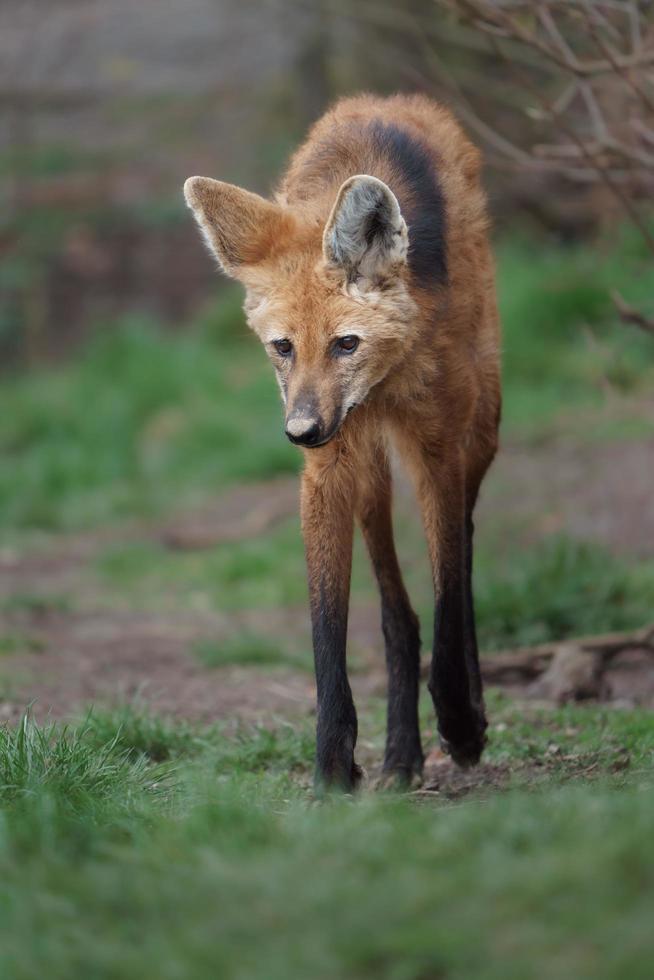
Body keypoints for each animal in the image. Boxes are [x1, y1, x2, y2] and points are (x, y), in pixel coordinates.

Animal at [184, 95, 502, 792]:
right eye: (283, 348)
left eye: (346, 344)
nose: (299, 431)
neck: (382, 384)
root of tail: (390, 102)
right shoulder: (328, 467)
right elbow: (326, 624)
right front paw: (333, 763)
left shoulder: (437, 449)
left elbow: (448, 588)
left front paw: (460, 722)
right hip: (368, 469)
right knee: (396, 610)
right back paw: (403, 752)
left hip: (481, 427)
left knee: (462, 553)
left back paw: (464, 713)